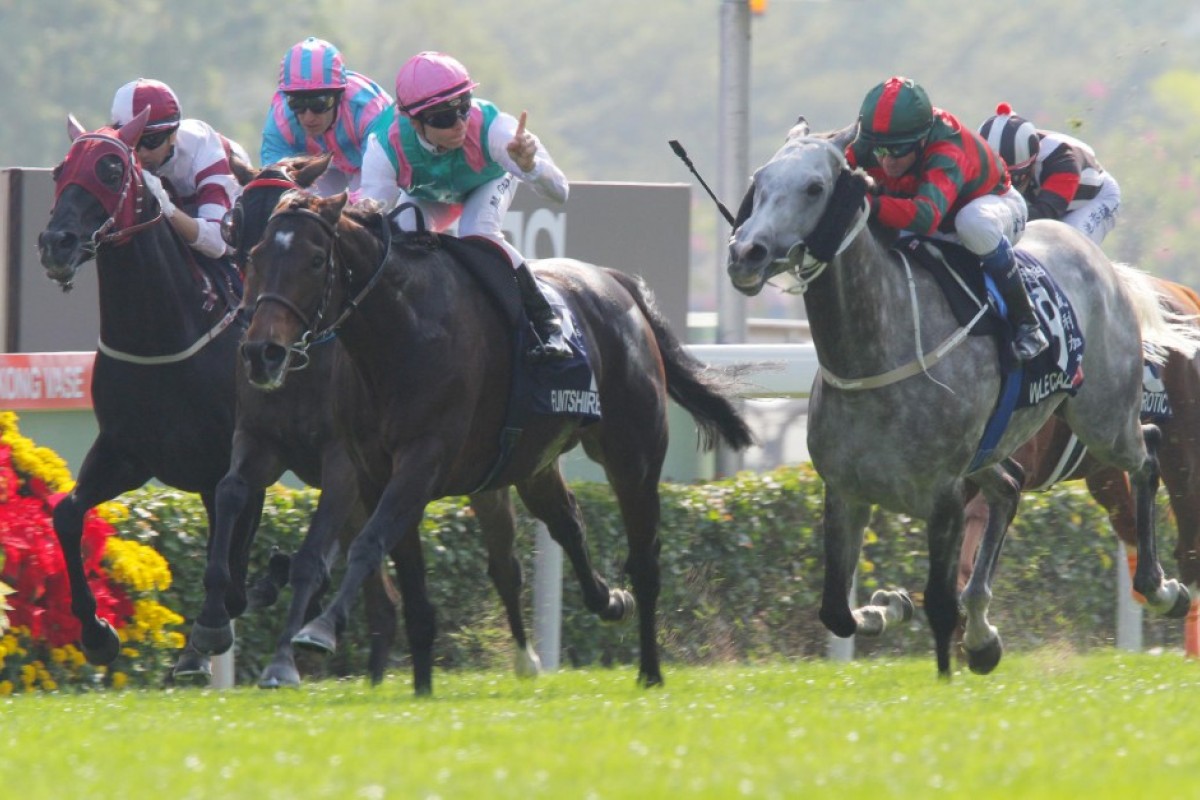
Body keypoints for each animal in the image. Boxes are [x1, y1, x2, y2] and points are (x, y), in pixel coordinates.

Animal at [36, 107, 264, 671]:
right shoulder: (127, 452)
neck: (162, 336)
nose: (56, 243)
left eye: (112, 168)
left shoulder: (239, 451)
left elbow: (233, 513)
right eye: (59, 170)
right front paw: (97, 632)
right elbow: (67, 514)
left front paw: (213, 621)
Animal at [238, 190, 753, 690]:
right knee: (568, 523)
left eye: (314, 260)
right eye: (256, 255)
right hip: (534, 462)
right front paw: (421, 685)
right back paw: (609, 601)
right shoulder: (372, 471)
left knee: (645, 560)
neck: (400, 333)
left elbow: (368, 543)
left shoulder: (422, 459)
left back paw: (649, 669)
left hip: (634, 457)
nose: (261, 352)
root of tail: (613, 280)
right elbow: (405, 573)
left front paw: (319, 630)